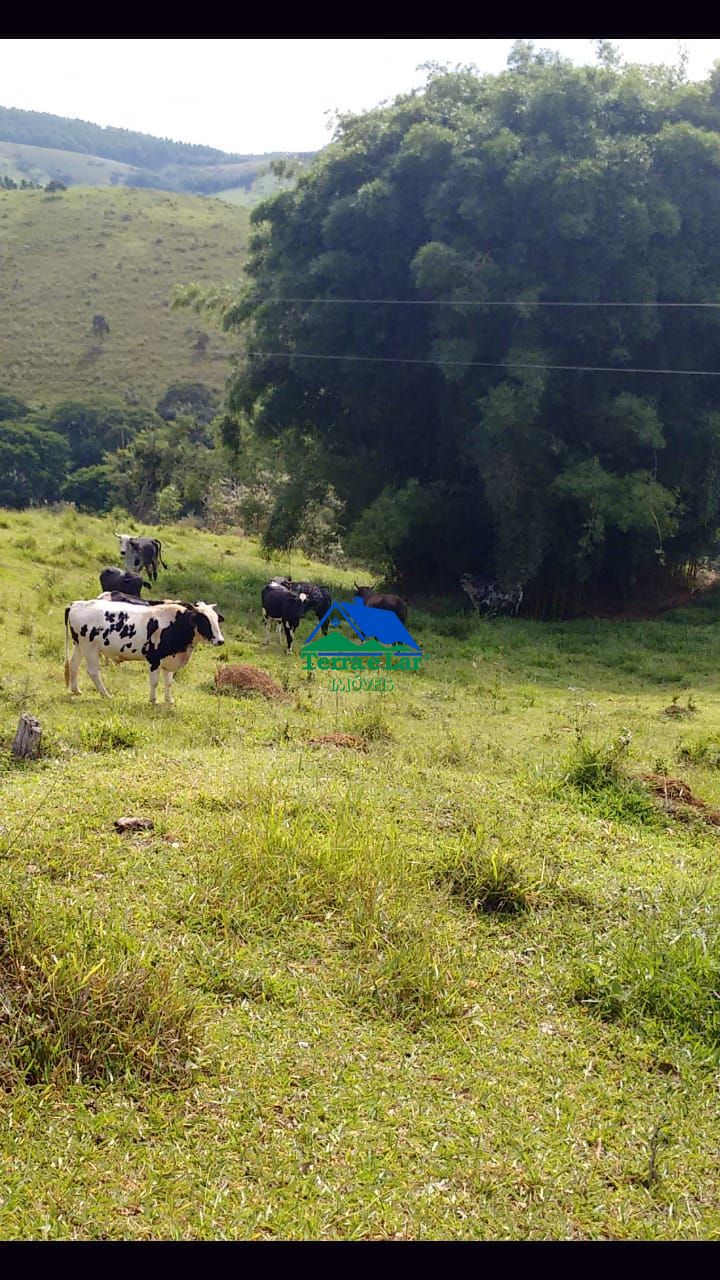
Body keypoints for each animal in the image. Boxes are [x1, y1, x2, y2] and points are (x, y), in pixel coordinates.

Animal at [64, 593, 222, 706]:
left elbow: (168, 682)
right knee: (93, 672)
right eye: (204, 621)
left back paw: (76, 690)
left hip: (79, 646)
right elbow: (154, 681)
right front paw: (153, 700)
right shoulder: (155, 659)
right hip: (90, 648)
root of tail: (77, 604)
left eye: (216, 619)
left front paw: (169, 700)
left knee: (74, 664)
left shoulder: (169, 658)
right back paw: (106, 694)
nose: (221, 641)